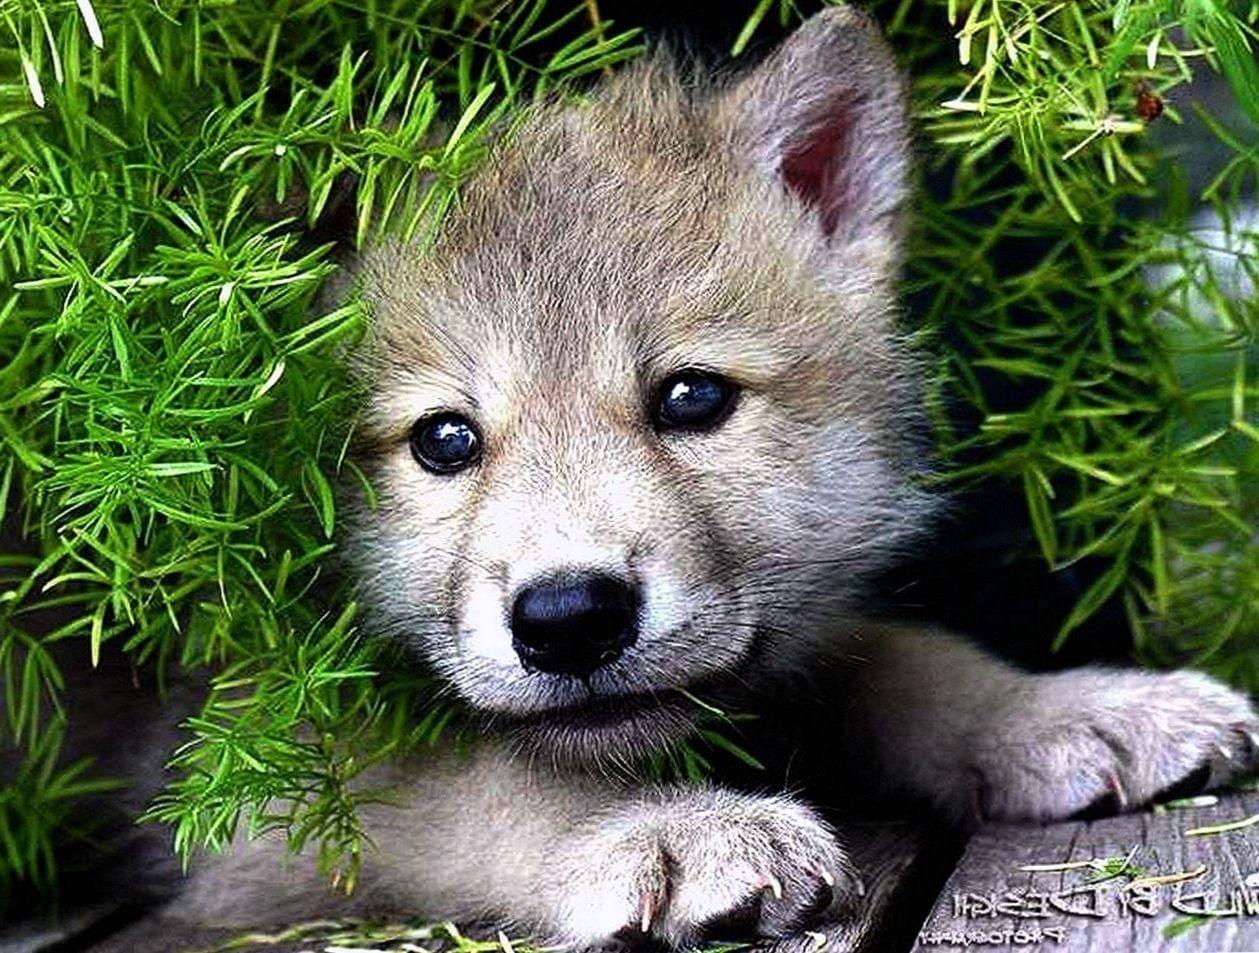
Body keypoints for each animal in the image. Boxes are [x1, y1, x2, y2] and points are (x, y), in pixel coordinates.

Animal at [73, 6, 1259, 951]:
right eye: (444, 440)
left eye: (691, 398)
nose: (568, 619)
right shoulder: (237, 775)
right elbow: (491, 780)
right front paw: (663, 828)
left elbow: (894, 654)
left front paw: (1065, 706)